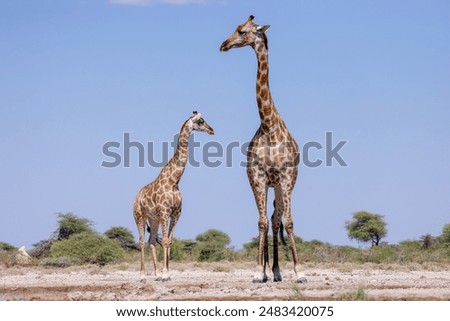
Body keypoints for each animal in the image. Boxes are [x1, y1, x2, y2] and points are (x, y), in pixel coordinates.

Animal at [133, 110, 214, 280]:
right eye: (201, 121)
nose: (212, 130)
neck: (174, 180)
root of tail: (136, 197)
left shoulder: (176, 213)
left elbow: (169, 241)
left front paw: (166, 272)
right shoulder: (165, 212)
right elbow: (164, 241)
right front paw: (165, 274)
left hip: (154, 219)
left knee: (151, 241)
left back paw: (156, 273)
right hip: (139, 216)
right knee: (142, 241)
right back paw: (142, 275)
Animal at [221, 15, 306, 282]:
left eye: (242, 31)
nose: (224, 44)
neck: (268, 125)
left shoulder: (286, 177)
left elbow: (289, 222)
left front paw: (299, 271)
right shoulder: (257, 177)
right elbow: (260, 223)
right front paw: (259, 271)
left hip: (280, 185)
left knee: (276, 220)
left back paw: (278, 271)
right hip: (269, 184)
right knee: (268, 220)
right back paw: (270, 271)